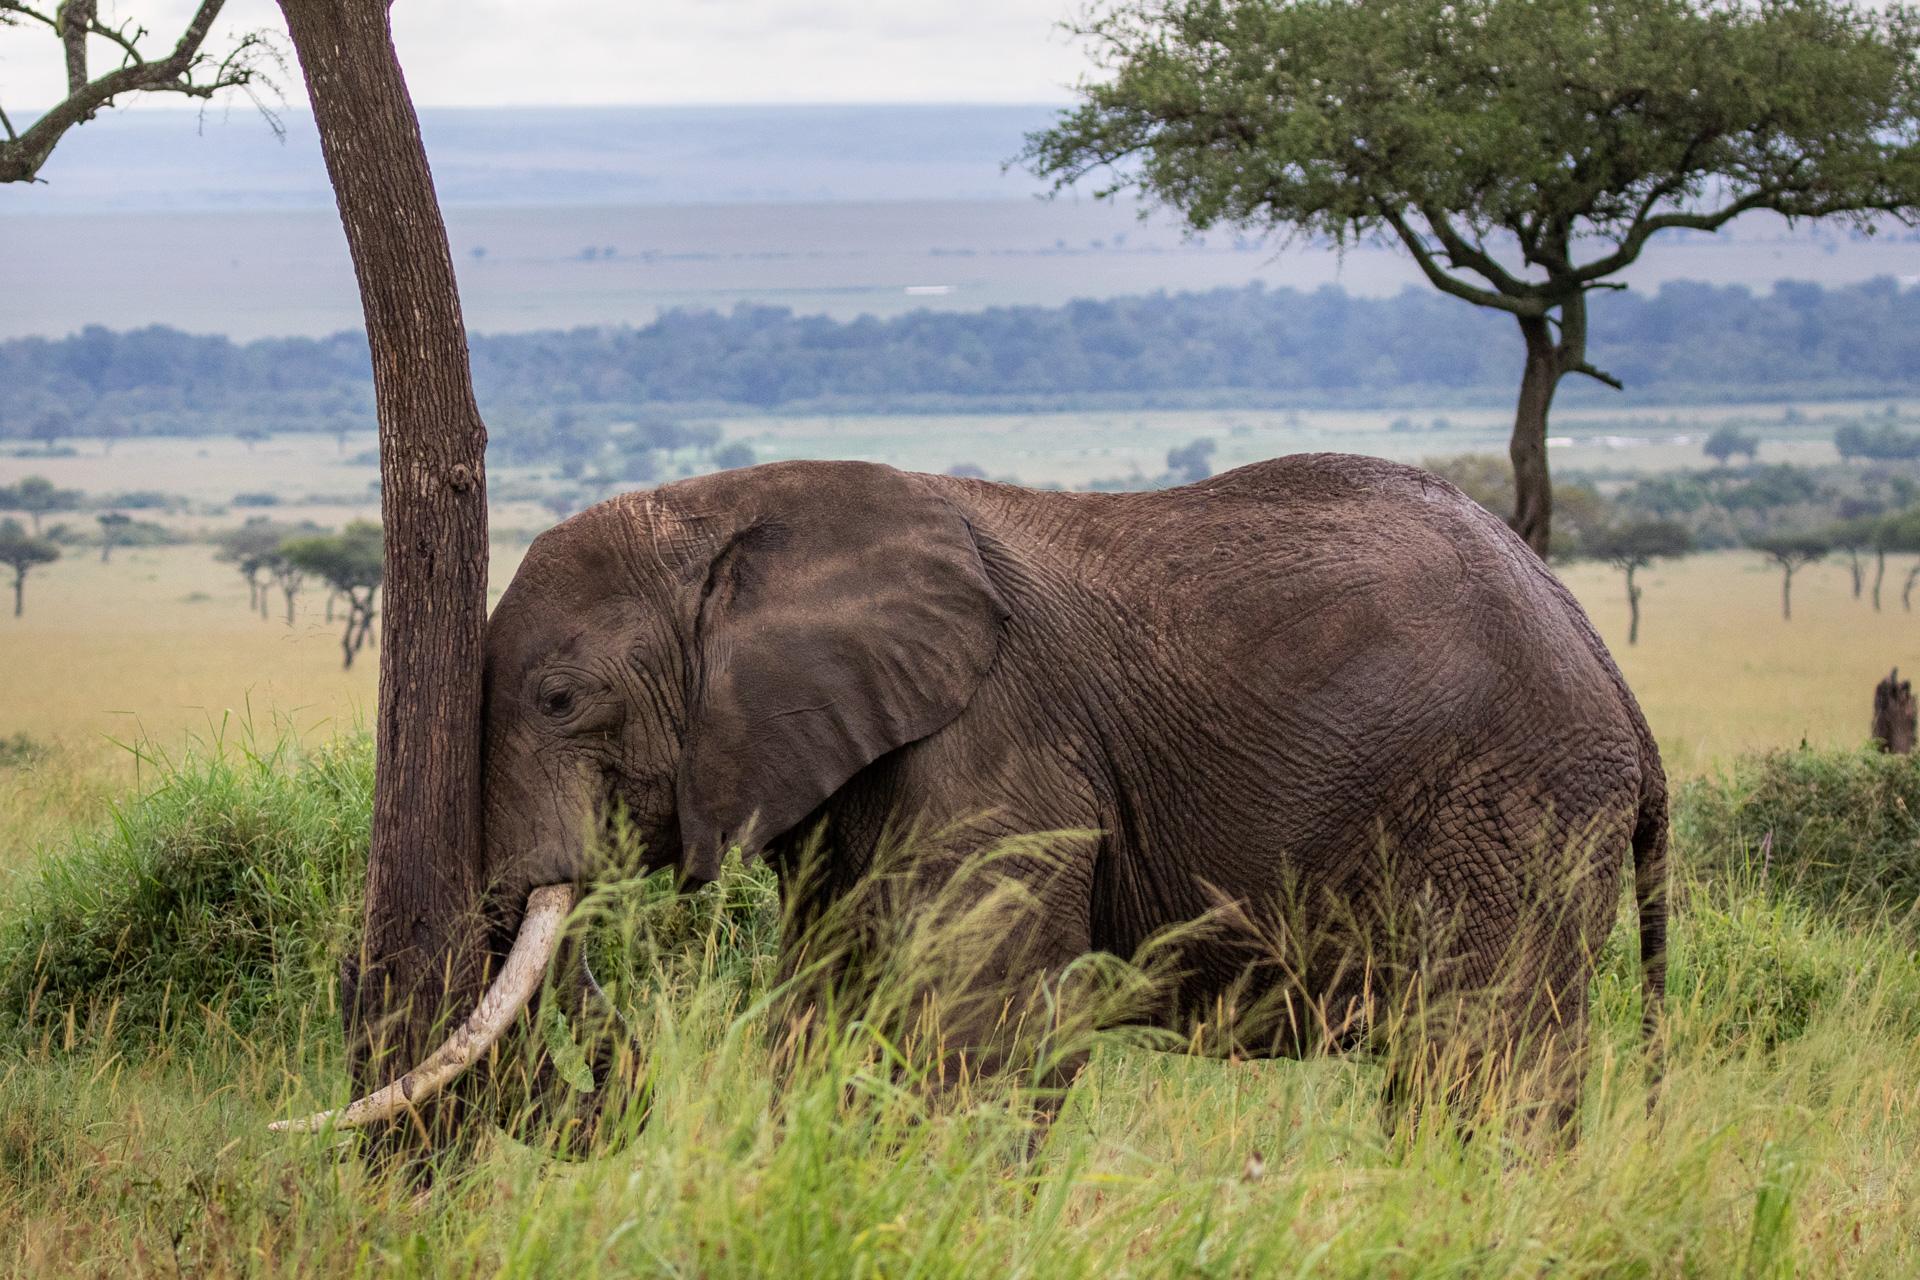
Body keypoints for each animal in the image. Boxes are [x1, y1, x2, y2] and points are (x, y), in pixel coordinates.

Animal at [270, 452, 1666, 1143]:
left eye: (561, 700)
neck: (731, 514)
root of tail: (1613, 671)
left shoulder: (997, 743)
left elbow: (978, 1033)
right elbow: (826, 1014)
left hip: (1515, 810)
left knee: (1480, 1054)